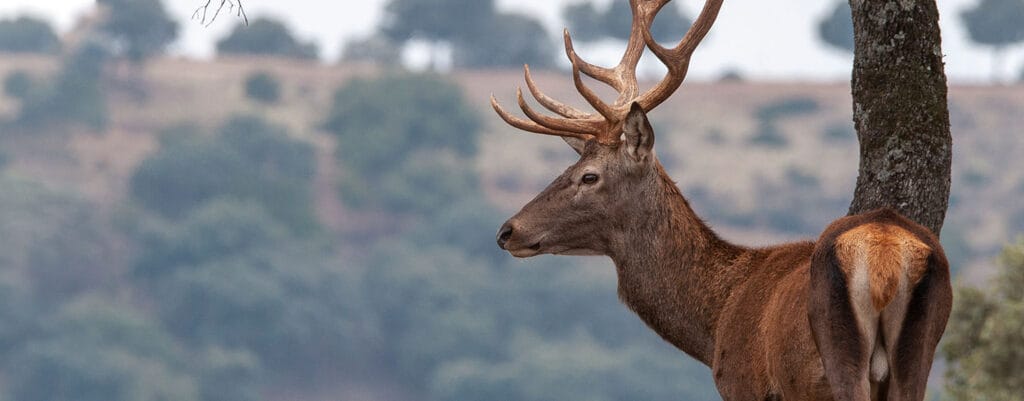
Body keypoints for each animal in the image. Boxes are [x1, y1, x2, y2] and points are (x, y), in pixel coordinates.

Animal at [491, 0, 952, 400]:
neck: (717, 320)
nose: (507, 230)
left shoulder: (745, 384)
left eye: (589, 176)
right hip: (918, 356)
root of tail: (886, 258)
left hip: (835, 361)